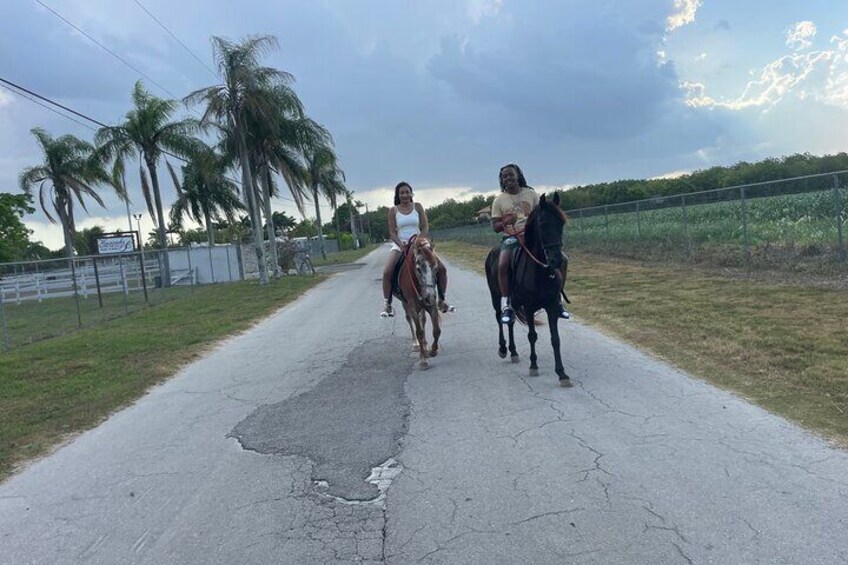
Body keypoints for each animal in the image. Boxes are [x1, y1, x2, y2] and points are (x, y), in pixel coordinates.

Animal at [392, 236, 440, 368]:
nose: (429, 296)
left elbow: (436, 330)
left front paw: (433, 350)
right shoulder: (413, 306)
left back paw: (425, 344)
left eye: (436, 268)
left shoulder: (432, 305)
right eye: (418, 269)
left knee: (422, 319)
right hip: (405, 304)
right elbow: (419, 331)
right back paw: (416, 344)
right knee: (409, 320)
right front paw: (423, 359)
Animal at [484, 192, 568, 386]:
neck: (540, 271)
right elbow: (532, 335)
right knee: (500, 318)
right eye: (543, 224)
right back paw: (503, 349)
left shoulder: (551, 306)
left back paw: (514, 351)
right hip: (495, 296)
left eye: (561, 223)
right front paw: (534, 366)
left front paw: (562, 373)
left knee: (511, 322)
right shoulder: (529, 308)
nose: (557, 260)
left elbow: (556, 339)